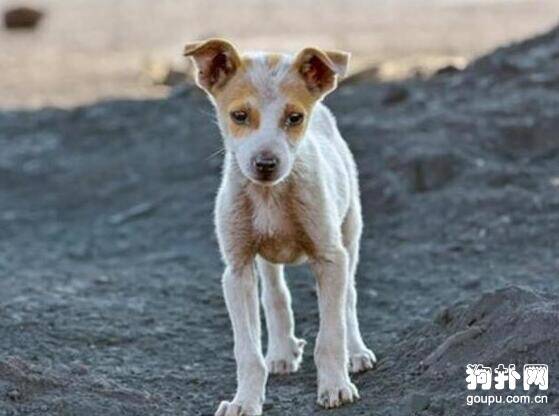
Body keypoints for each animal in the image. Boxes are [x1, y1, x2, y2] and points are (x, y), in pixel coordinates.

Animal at [185, 39, 376, 416]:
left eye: (295, 118)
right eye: (239, 116)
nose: (265, 164)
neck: (270, 196)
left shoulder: (331, 258)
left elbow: (330, 336)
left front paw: (335, 386)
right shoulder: (237, 269)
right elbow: (247, 351)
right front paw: (244, 401)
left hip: (350, 234)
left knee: (349, 298)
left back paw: (357, 352)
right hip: (266, 258)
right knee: (275, 294)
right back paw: (282, 351)